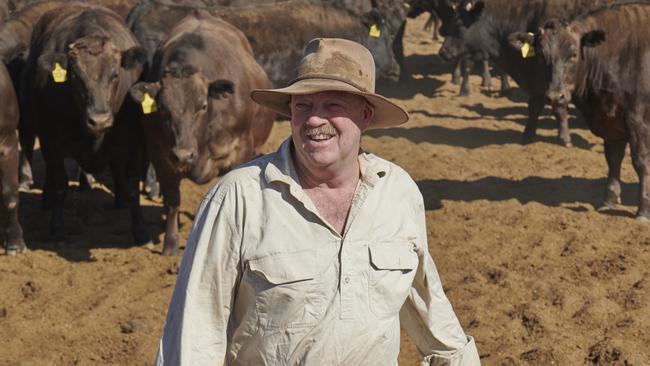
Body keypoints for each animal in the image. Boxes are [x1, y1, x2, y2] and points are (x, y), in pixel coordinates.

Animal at [21, 3, 148, 246]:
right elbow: (60, 184)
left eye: (115, 74)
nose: (99, 120)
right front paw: (57, 229)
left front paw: (141, 232)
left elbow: (132, 187)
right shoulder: (50, 140)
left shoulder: (134, 142)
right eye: (76, 76)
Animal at [129, 12, 274, 256]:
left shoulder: (239, 151)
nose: (183, 155)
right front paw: (170, 244)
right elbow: (173, 198)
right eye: (163, 108)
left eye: (203, 106)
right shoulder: (160, 156)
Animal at [524, 2, 648, 220]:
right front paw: (609, 200)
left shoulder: (637, 120)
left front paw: (643, 209)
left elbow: (640, 162)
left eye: (573, 54)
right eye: (541, 55)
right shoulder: (611, 118)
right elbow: (613, 158)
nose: (555, 97)